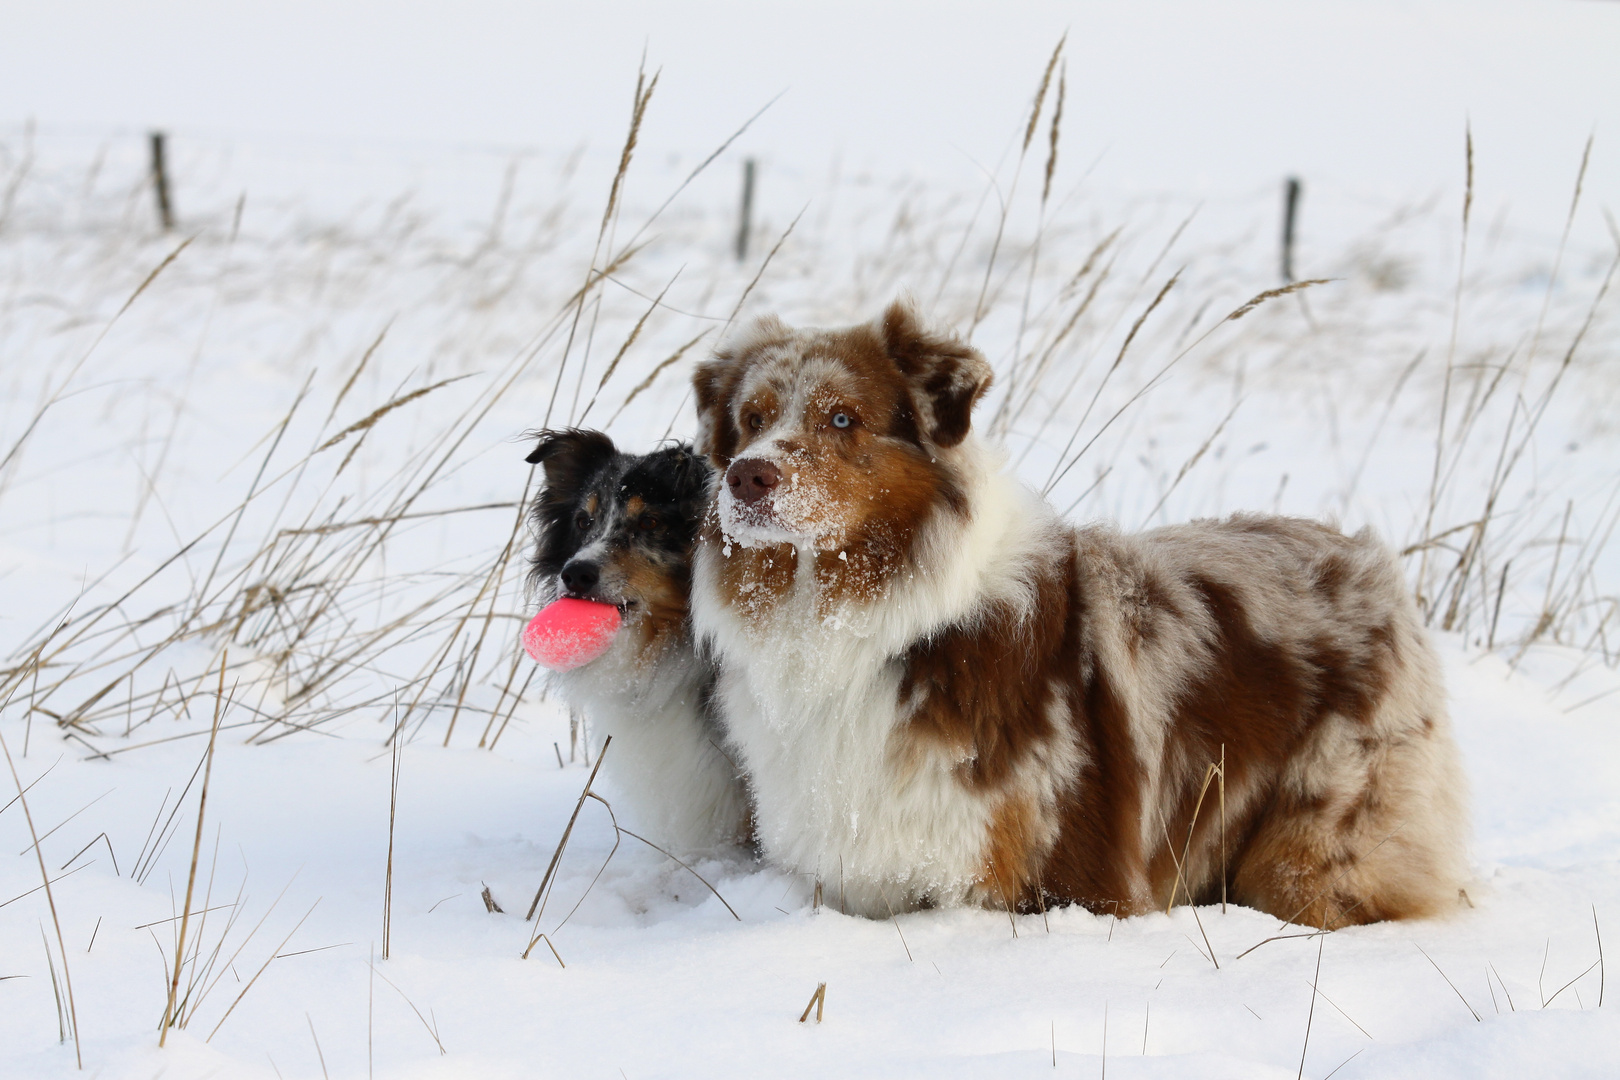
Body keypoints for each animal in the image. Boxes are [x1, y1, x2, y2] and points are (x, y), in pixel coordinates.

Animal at [690, 299, 1477, 926]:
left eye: (842, 417)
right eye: (751, 419)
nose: (748, 477)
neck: (850, 616)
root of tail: (1364, 552)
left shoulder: (1069, 882)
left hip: (1319, 844)